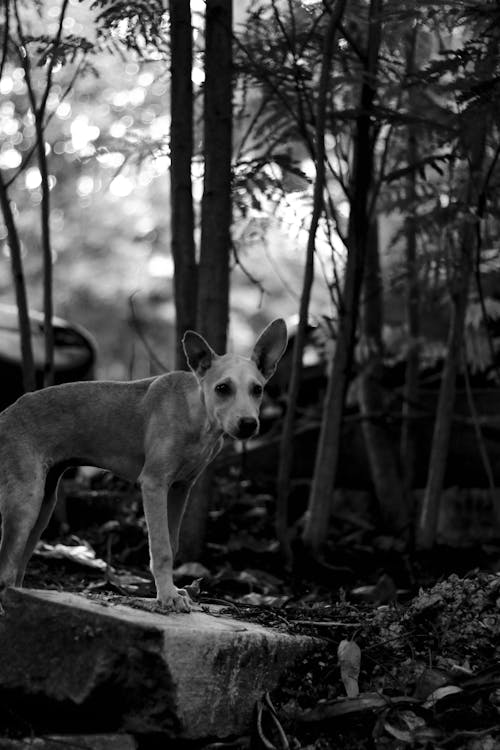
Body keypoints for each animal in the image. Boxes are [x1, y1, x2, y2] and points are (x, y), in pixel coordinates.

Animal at [0, 320, 286, 612]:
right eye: (222, 388)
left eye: (257, 390)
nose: (248, 424)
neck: (196, 413)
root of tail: (6, 414)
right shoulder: (154, 484)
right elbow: (161, 549)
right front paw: (167, 596)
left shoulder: (180, 488)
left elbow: (172, 543)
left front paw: (172, 590)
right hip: (26, 501)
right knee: (6, 571)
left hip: (44, 505)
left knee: (17, 569)